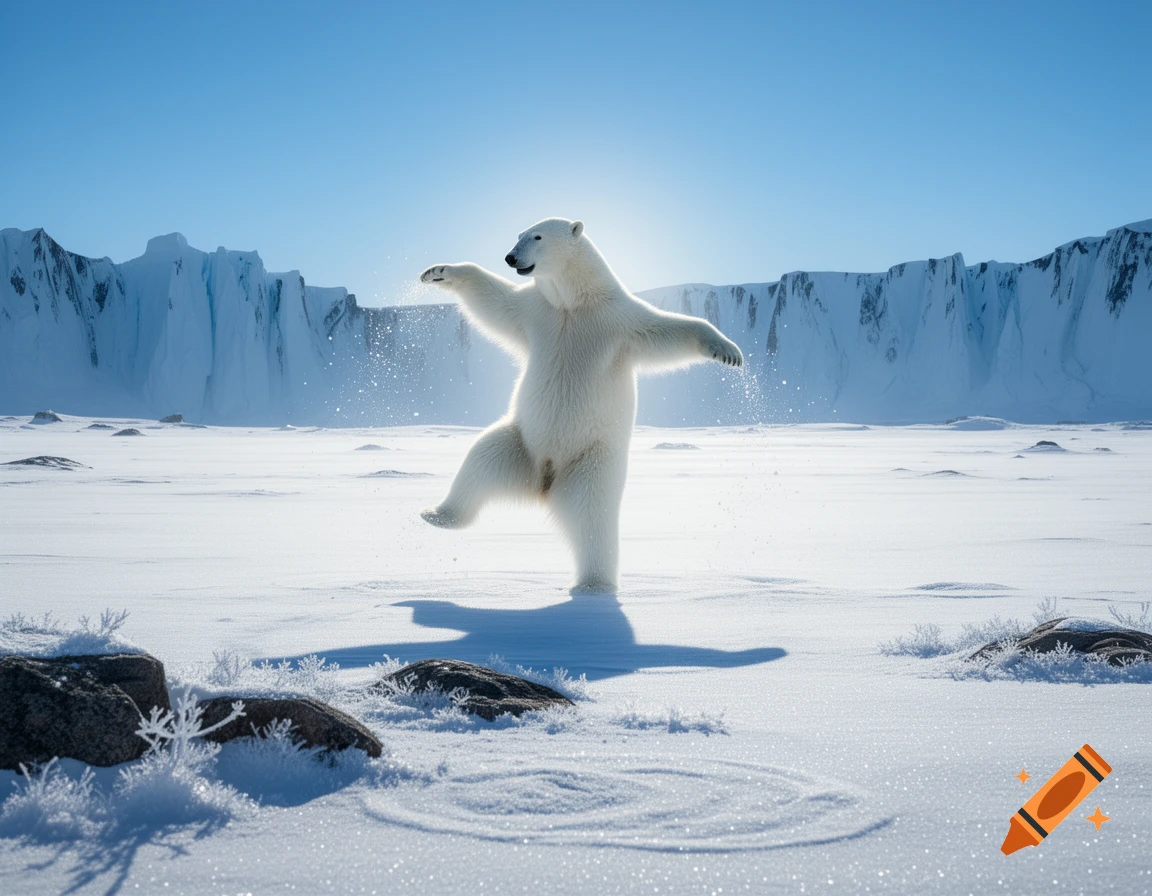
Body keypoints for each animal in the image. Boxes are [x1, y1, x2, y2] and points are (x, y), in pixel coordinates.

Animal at [419, 217, 743, 593]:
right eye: (519, 235)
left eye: (537, 236)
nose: (511, 257)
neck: (573, 304)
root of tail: (543, 481)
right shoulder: (536, 311)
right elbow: (495, 302)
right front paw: (438, 272)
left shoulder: (620, 320)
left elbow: (667, 330)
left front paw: (728, 351)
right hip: (518, 442)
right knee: (479, 461)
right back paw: (437, 515)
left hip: (592, 463)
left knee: (593, 521)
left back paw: (594, 584)